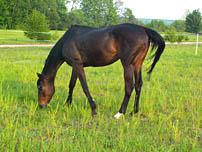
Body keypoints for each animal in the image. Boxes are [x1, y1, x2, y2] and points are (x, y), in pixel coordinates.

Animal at [36, 23, 165, 119]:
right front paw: (68, 104)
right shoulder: (75, 66)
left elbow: (84, 87)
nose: (41, 106)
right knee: (138, 85)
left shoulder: (78, 65)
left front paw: (93, 109)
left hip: (127, 65)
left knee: (129, 87)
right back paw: (134, 111)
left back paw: (120, 113)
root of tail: (143, 29)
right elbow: (71, 84)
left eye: (40, 87)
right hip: (137, 65)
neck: (67, 40)